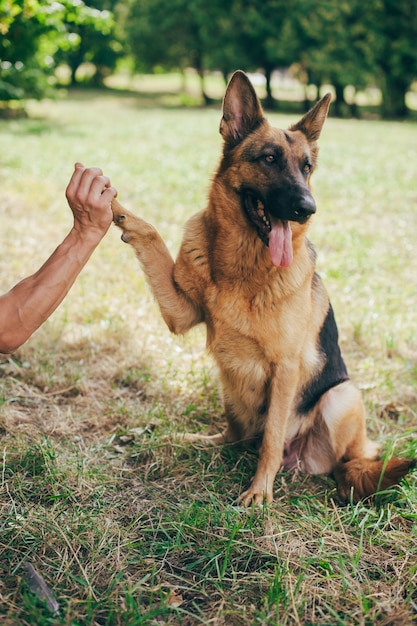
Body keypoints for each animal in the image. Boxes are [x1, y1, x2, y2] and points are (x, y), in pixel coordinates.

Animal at [110, 70, 412, 504]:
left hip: (343, 396)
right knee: (233, 437)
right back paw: (194, 440)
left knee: (338, 463)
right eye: (269, 159)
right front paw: (119, 210)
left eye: (306, 168)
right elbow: (151, 237)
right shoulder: (181, 313)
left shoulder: (285, 368)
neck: (242, 267)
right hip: (229, 387)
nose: (307, 208)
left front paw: (259, 493)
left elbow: (271, 439)